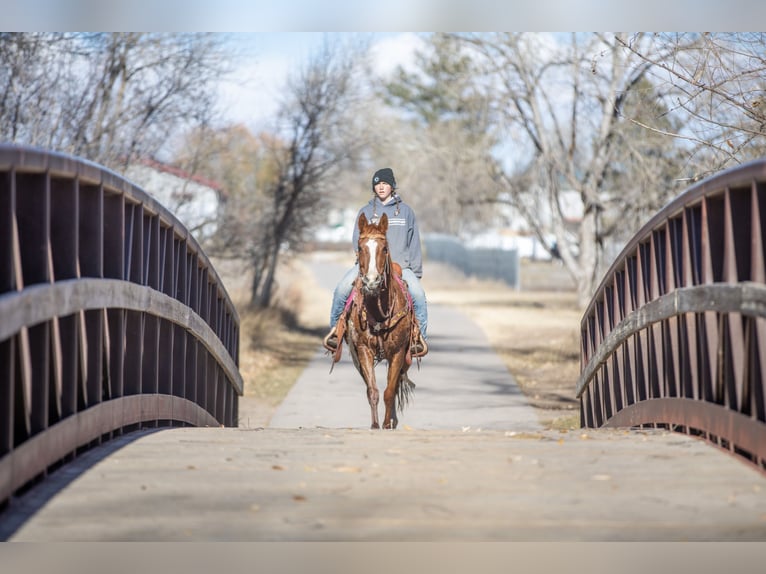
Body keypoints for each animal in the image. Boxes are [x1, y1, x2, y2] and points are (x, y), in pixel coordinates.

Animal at [328, 214, 416, 430]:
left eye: (384, 248)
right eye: (360, 248)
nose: (371, 281)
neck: (379, 312)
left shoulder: (398, 353)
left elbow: (389, 391)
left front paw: (386, 424)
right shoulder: (363, 350)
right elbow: (373, 390)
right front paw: (375, 425)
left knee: (396, 384)